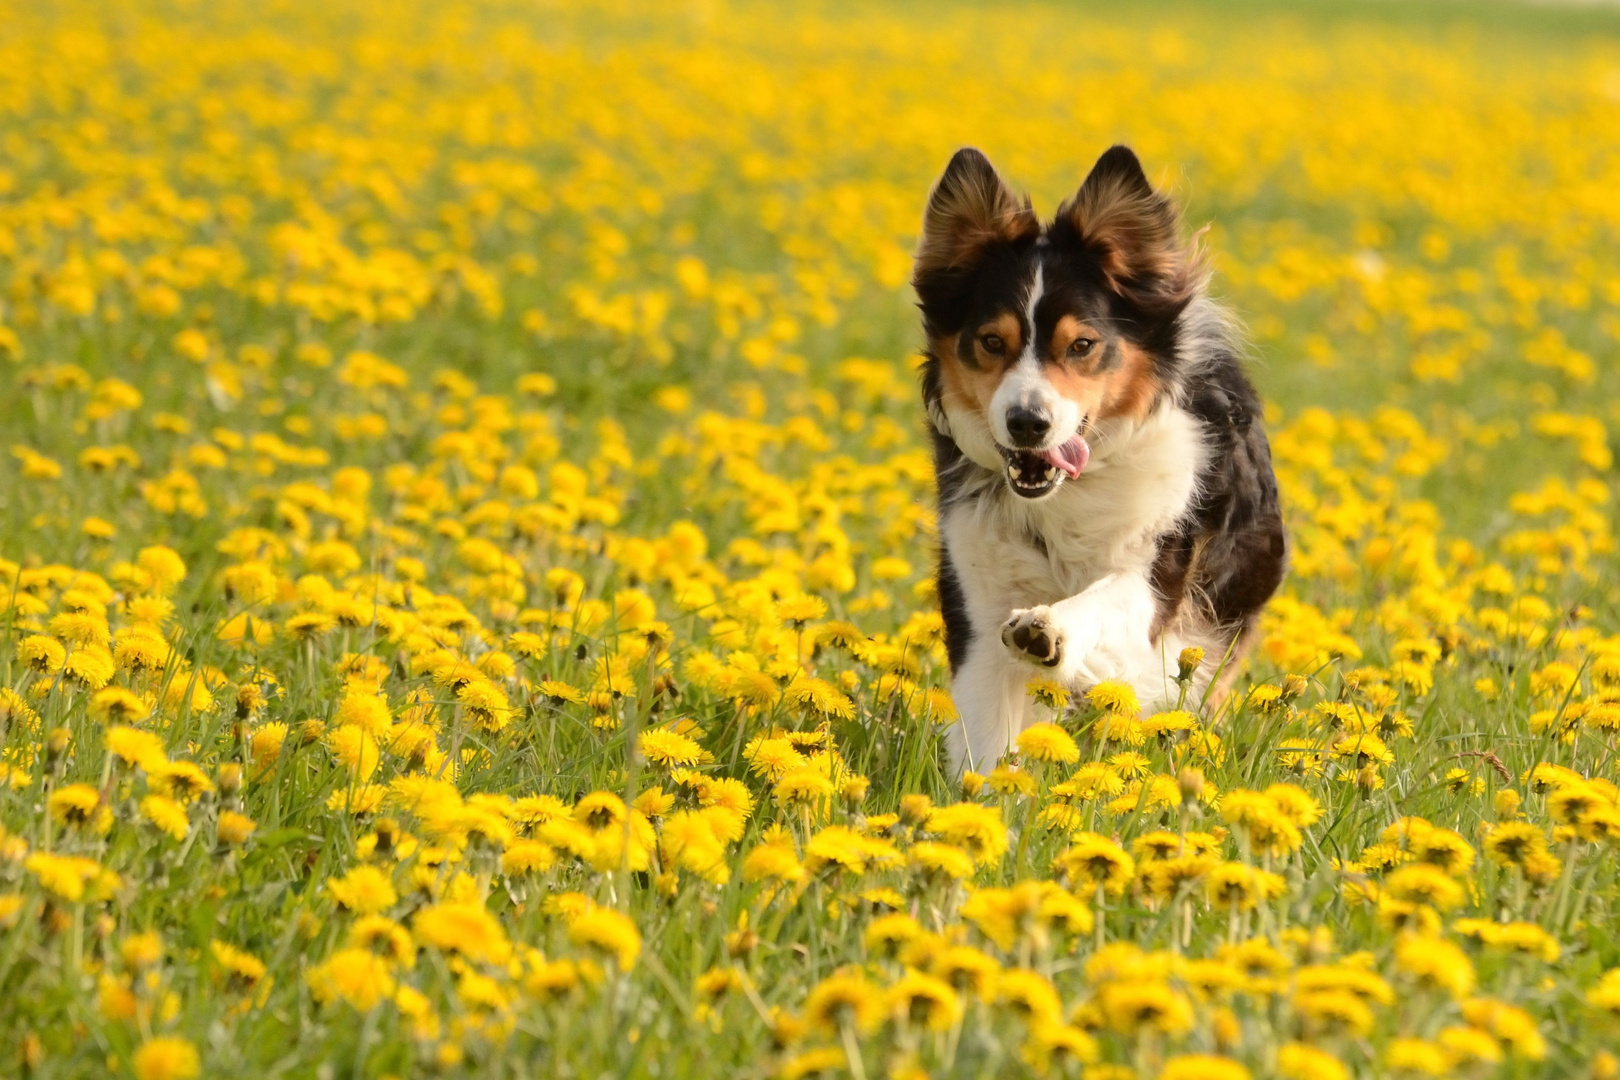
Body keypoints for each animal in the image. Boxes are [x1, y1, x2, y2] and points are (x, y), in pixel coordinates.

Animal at [920, 145, 1283, 777]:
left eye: (1082, 346)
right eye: (991, 342)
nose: (1028, 423)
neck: (1068, 493)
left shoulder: (1159, 569)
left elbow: (1107, 598)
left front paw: (1048, 628)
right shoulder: (978, 584)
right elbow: (988, 720)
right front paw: (986, 793)